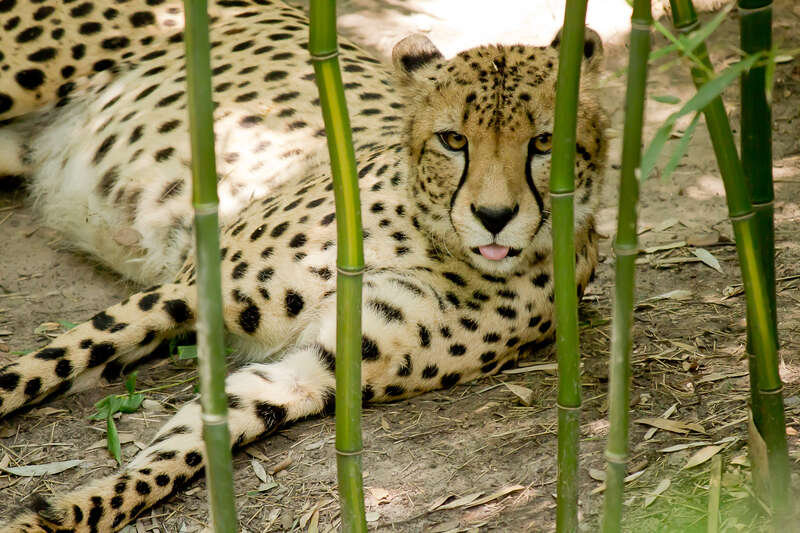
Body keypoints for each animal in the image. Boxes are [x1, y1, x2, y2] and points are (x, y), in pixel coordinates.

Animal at [0, 0, 607, 531]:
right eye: (453, 139)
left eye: (544, 142)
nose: (495, 216)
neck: (433, 242)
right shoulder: (188, 289)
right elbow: (41, 367)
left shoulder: (311, 372)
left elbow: (186, 448)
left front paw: (66, 515)